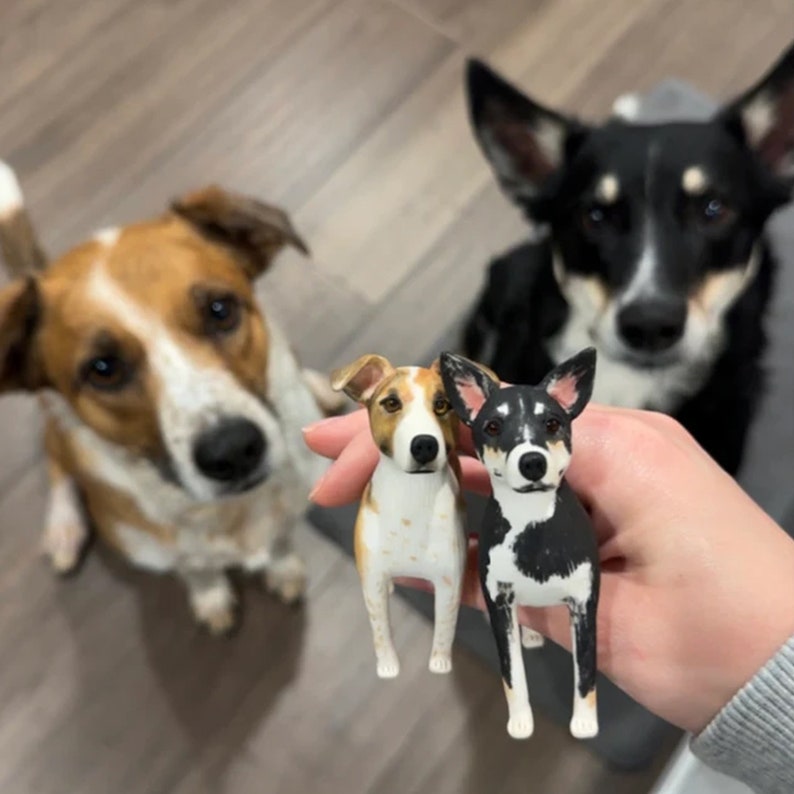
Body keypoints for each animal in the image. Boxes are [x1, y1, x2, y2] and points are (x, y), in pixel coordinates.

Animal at [0, 159, 338, 632]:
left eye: (220, 309)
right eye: (103, 368)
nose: (233, 451)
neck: (229, 512)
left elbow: (281, 541)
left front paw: (282, 566)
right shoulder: (162, 551)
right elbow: (197, 569)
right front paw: (212, 599)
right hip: (54, 421)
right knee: (55, 456)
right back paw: (64, 526)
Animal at [436, 346, 596, 736]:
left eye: (552, 423)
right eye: (493, 426)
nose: (533, 462)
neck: (532, 526)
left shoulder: (584, 603)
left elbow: (585, 673)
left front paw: (585, 724)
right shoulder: (499, 603)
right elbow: (512, 674)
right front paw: (520, 721)